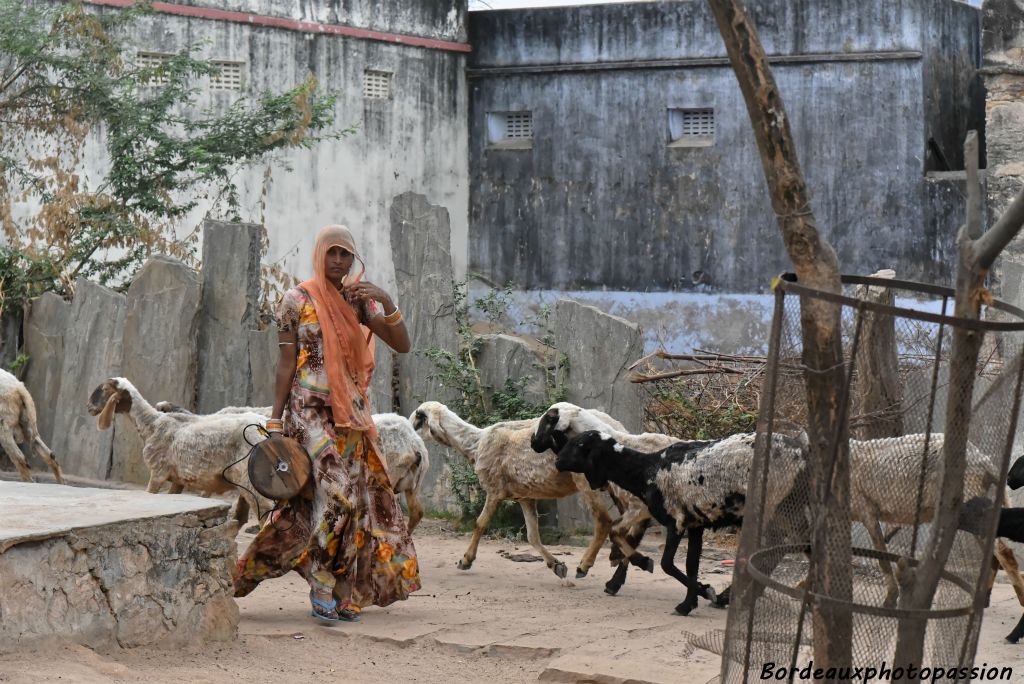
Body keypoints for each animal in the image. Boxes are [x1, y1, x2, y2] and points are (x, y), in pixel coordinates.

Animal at [407, 401, 622, 581]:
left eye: (417, 419)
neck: (475, 443)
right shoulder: (524, 496)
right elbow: (532, 536)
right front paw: (556, 565)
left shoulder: (494, 490)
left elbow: (480, 524)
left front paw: (466, 560)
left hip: (585, 480)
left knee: (604, 520)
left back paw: (585, 565)